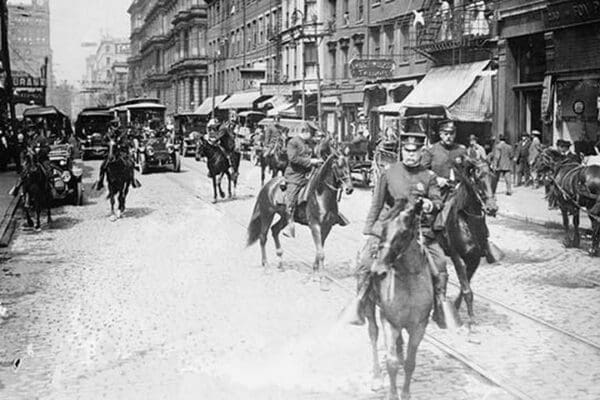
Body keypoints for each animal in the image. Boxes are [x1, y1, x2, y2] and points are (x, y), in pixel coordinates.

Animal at [246, 141, 354, 282]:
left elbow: (319, 250)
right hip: (267, 214)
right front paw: (321, 278)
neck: (321, 195)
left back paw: (280, 263)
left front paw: (315, 272)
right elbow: (321, 253)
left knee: (275, 230)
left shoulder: (327, 227)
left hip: (285, 217)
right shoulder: (315, 225)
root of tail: (268, 185)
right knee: (263, 237)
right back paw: (266, 266)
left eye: (350, 165)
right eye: (339, 165)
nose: (349, 189)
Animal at [360, 199, 432, 400]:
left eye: (405, 233)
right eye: (383, 229)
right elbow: (391, 362)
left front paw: (406, 393)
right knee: (373, 333)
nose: (378, 271)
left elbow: (410, 362)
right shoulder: (389, 321)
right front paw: (392, 394)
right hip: (369, 305)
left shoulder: (419, 325)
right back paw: (377, 377)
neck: (408, 281)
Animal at [438, 156, 500, 324]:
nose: (492, 208)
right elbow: (466, 288)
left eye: (494, 177)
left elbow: (464, 285)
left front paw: (456, 308)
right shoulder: (456, 256)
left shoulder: (475, 258)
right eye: (478, 179)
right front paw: (471, 321)